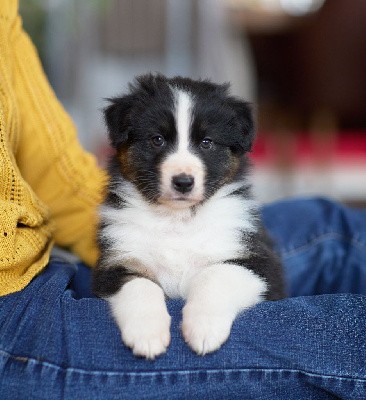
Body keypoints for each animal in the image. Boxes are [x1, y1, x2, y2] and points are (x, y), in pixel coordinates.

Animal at [92, 73, 286, 358]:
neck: (178, 220)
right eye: (157, 139)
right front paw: (147, 334)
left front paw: (204, 329)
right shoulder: (116, 263)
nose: (183, 182)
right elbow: (141, 286)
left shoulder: (260, 265)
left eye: (207, 142)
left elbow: (215, 275)